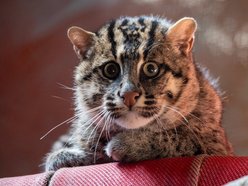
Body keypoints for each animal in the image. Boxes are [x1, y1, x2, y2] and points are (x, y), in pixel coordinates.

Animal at [44, 16, 232, 171]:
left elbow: (179, 139)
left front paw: (126, 144)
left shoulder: (216, 145)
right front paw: (69, 156)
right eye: (110, 70)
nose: (128, 95)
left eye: (151, 68)